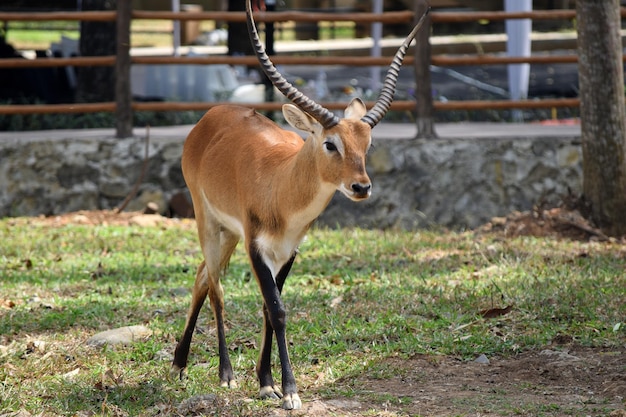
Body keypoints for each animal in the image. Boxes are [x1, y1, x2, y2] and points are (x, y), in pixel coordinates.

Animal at [172, 0, 428, 410]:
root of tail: (212, 116)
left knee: (200, 278)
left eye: (367, 144)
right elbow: (277, 309)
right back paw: (221, 373)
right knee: (215, 288)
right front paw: (289, 391)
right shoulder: (257, 247)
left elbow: (267, 307)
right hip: (206, 220)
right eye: (330, 143)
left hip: (228, 233)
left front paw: (266, 383)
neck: (281, 188)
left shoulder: (289, 250)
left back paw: (183, 364)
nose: (361, 187)